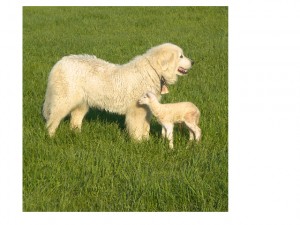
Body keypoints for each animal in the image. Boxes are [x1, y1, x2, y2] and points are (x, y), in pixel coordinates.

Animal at [42, 43, 193, 140]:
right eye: (181, 56)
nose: (193, 62)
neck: (153, 71)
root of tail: (60, 62)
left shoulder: (147, 109)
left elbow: (146, 127)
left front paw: (146, 140)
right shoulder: (137, 109)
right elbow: (137, 127)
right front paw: (139, 142)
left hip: (81, 102)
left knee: (75, 119)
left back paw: (77, 134)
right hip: (63, 100)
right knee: (53, 120)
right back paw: (51, 137)